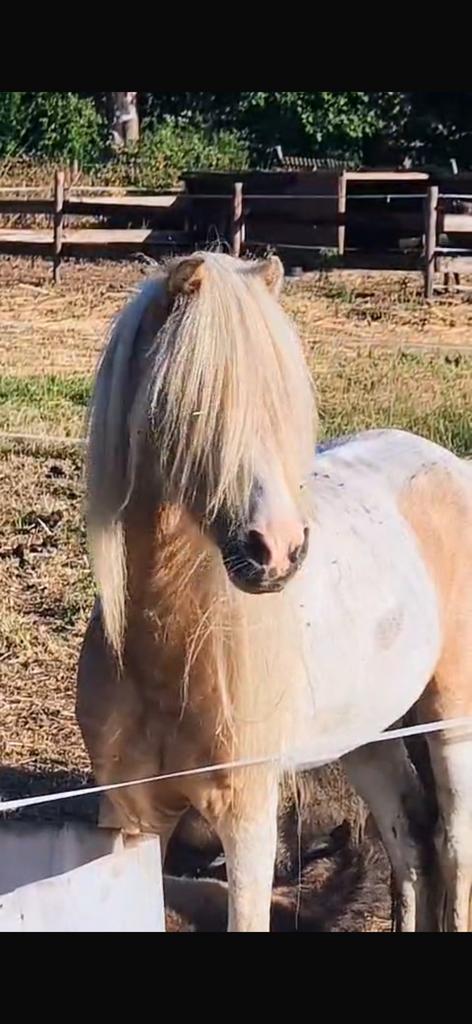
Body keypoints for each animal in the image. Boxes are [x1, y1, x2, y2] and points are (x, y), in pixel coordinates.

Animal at [76, 251, 472, 931]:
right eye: (195, 406)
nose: (278, 552)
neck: (167, 652)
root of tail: (451, 465)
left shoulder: (248, 823)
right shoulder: (129, 819)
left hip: (451, 717)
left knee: (451, 847)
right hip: (365, 737)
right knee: (409, 843)